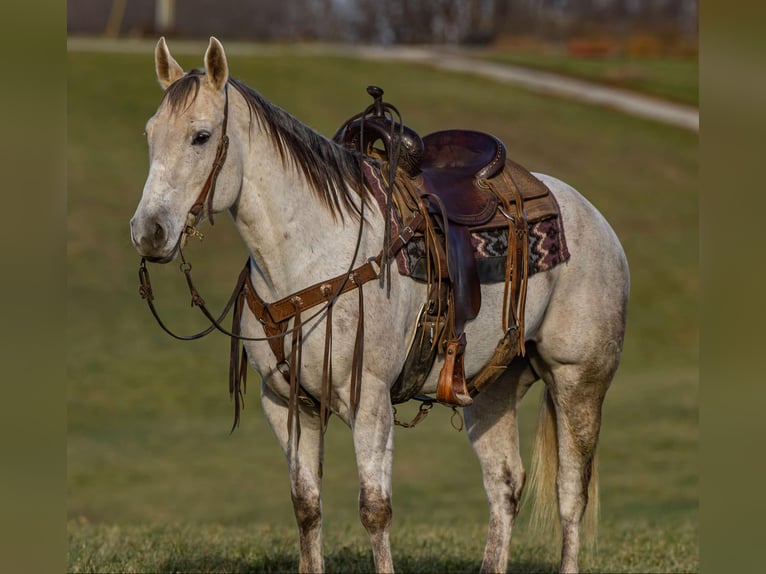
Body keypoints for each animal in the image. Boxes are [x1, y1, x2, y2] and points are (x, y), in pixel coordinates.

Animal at [130, 37, 632, 574]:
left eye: (201, 137)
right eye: (150, 134)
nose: (149, 232)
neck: (310, 255)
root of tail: (596, 221)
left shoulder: (368, 399)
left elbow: (375, 509)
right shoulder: (286, 402)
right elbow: (306, 507)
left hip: (578, 381)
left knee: (569, 493)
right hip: (492, 389)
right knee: (505, 485)